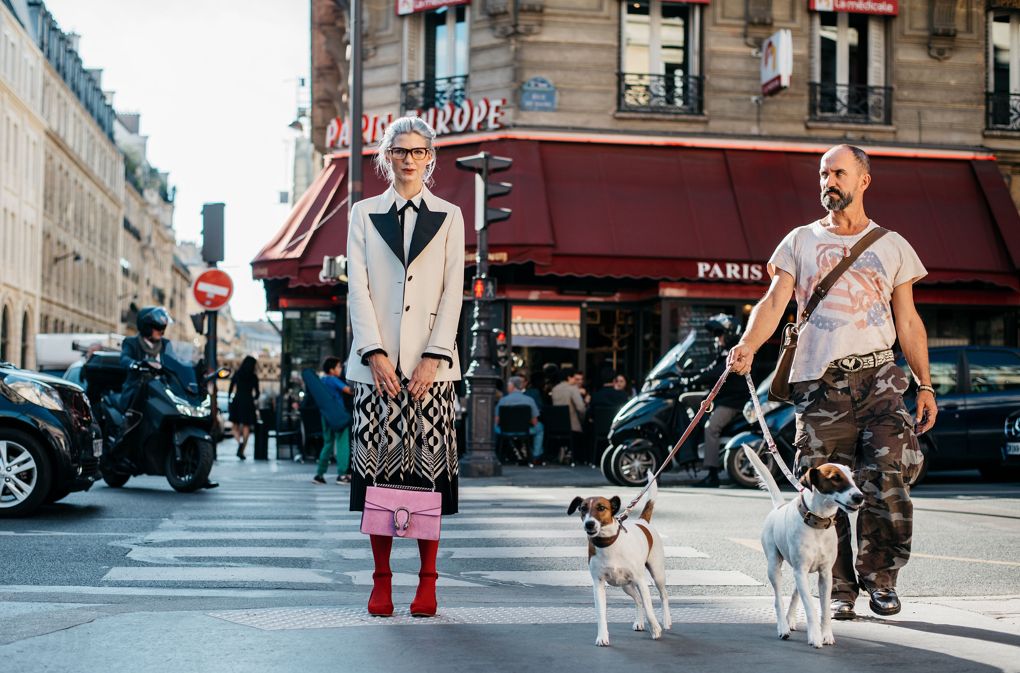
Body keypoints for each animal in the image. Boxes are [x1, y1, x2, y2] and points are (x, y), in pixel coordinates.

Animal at [567, 473, 669, 648]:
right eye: (583, 508)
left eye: (602, 508)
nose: (589, 524)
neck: (608, 543)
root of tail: (643, 521)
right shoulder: (598, 584)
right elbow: (601, 613)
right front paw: (602, 636)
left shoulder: (641, 581)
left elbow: (649, 608)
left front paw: (655, 628)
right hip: (625, 585)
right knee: (637, 600)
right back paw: (639, 622)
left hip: (657, 574)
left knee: (663, 595)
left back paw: (666, 621)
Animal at [742, 446, 860, 648]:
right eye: (835, 478)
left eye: (852, 477)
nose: (860, 497)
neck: (818, 523)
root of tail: (779, 506)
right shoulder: (800, 570)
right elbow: (811, 607)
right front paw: (815, 637)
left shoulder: (825, 574)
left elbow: (824, 609)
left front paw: (826, 634)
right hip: (775, 566)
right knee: (778, 599)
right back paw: (783, 627)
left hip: (801, 572)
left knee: (796, 593)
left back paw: (790, 619)